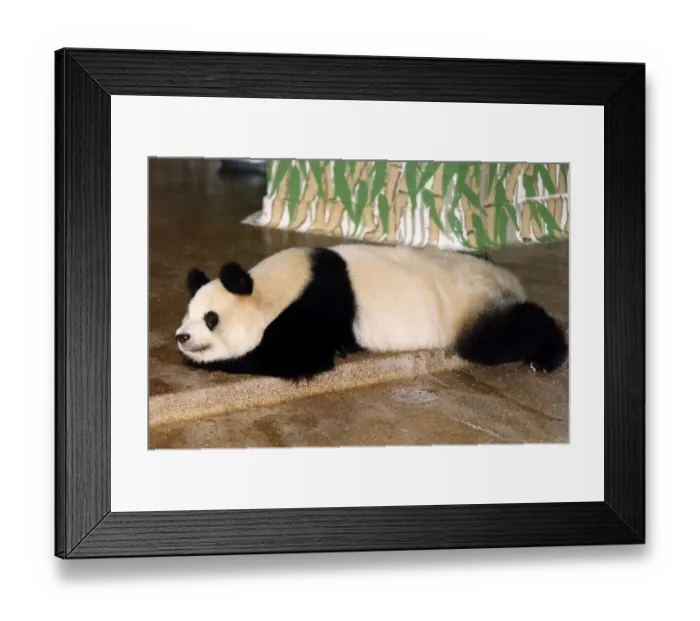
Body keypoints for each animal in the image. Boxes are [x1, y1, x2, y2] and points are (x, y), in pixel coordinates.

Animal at [175, 244, 567, 381]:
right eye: (187, 313)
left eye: (211, 318)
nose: (182, 337)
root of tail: (508, 281)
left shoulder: (314, 307)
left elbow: (295, 357)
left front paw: (218, 360)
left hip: (469, 307)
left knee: (499, 338)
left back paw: (546, 356)